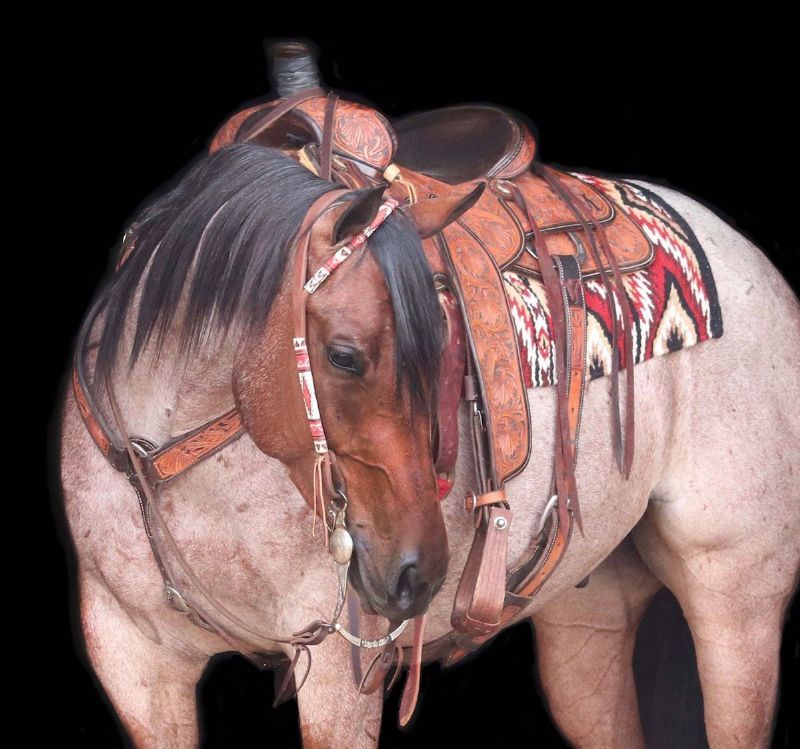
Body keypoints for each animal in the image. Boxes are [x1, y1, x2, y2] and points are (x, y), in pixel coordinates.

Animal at [58, 133, 800, 749]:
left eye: (443, 353)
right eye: (345, 356)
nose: (417, 575)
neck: (168, 460)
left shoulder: (339, 673)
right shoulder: (135, 660)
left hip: (737, 596)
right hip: (589, 615)